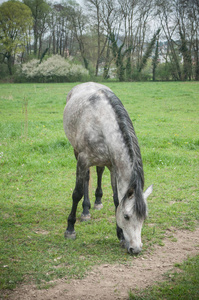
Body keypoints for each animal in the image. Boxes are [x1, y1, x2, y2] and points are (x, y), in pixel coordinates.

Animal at [63, 82, 152, 253]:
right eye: (126, 216)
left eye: (144, 217)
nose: (136, 249)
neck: (102, 124)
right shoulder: (82, 160)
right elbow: (77, 193)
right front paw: (70, 229)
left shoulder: (114, 166)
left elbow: (117, 199)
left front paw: (121, 236)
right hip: (77, 152)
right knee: (87, 177)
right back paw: (85, 211)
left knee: (98, 171)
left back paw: (97, 202)